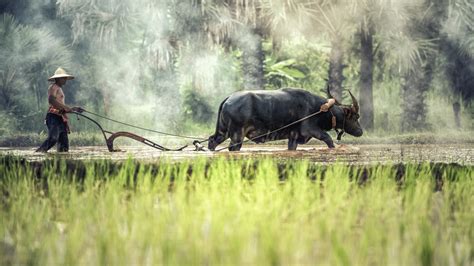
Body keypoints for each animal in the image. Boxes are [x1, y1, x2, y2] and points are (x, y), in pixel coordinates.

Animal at [207, 87, 362, 151]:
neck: (320, 109)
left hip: (223, 131)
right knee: (233, 147)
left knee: (212, 141)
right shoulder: (311, 130)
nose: (360, 131)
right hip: (237, 135)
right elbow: (329, 140)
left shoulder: (293, 137)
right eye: (355, 116)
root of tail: (229, 98)